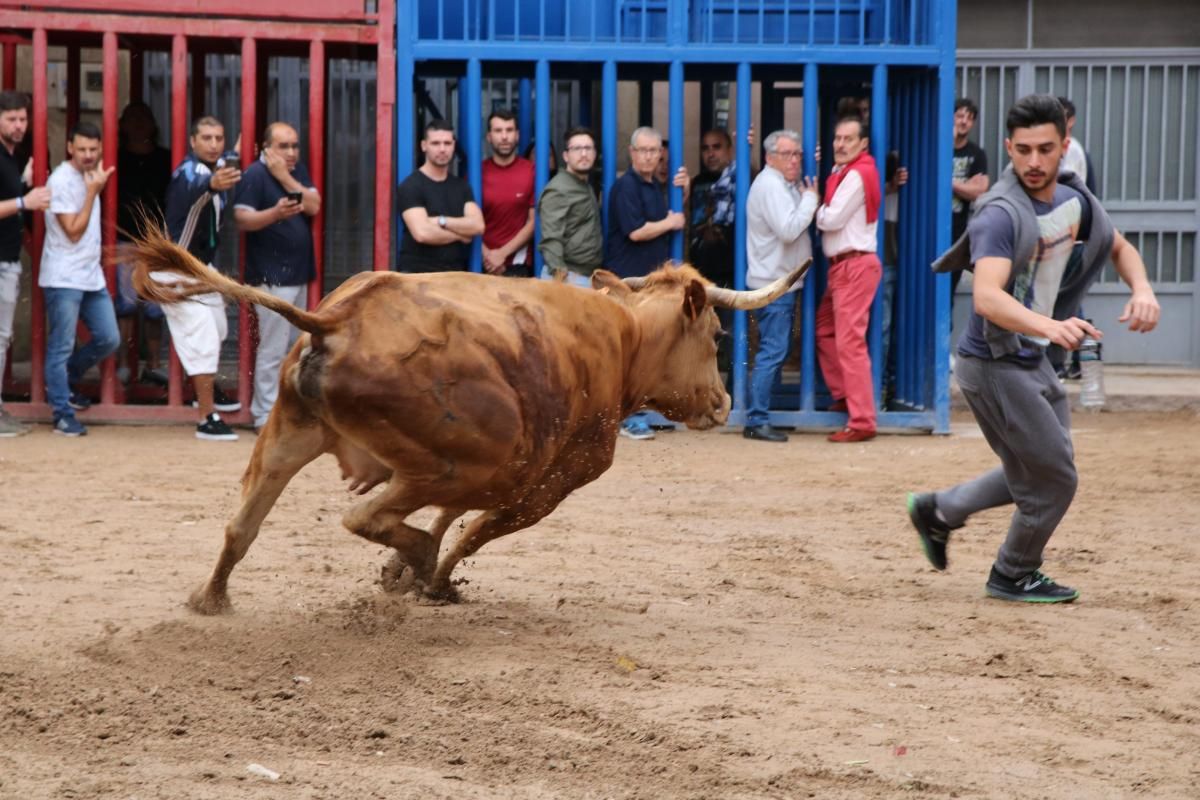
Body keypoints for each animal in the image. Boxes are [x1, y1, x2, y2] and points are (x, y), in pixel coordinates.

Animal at [129, 231, 806, 614]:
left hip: (290, 438)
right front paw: (429, 582)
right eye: (716, 334)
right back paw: (422, 564)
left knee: (242, 524)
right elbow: (476, 529)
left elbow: (457, 517)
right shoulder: (550, 482)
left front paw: (400, 575)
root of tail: (338, 321)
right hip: (455, 460)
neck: (624, 336)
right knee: (367, 515)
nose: (721, 403)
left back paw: (211, 599)